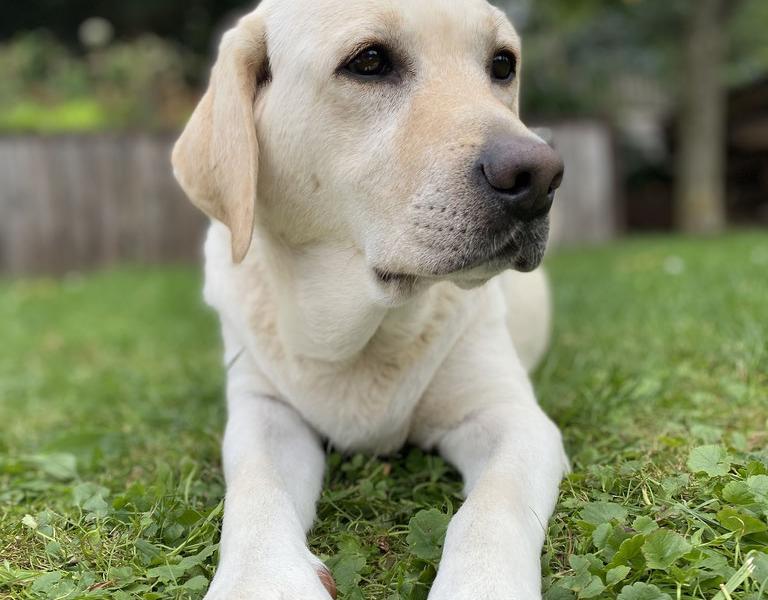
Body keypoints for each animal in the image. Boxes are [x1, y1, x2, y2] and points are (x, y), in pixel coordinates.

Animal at [176, 0, 568, 596]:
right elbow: (255, 485)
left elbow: (493, 505)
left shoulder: (512, 417)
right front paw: (258, 579)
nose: (540, 176)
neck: (363, 329)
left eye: (502, 65)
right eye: (369, 61)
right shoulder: (263, 409)